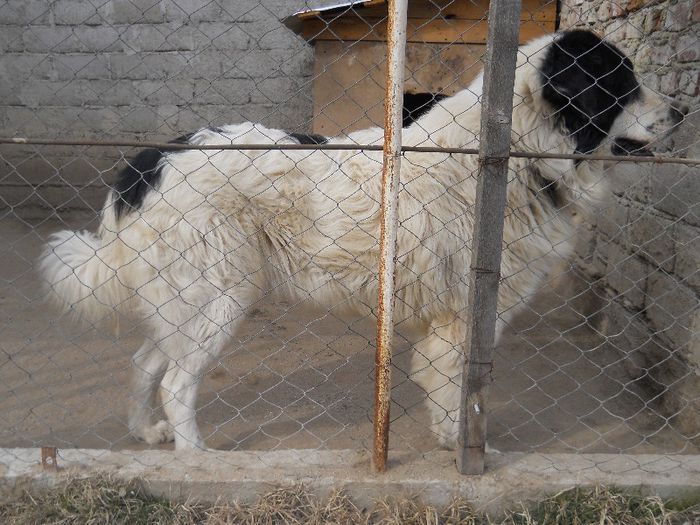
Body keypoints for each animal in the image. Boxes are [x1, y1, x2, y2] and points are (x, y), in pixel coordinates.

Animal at [38, 30, 684, 448]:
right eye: (621, 82)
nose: (680, 111)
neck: (521, 151)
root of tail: (145, 163)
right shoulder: (465, 318)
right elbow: (458, 398)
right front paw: (466, 454)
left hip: (184, 302)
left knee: (146, 364)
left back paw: (147, 434)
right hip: (218, 297)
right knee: (175, 383)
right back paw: (196, 460)